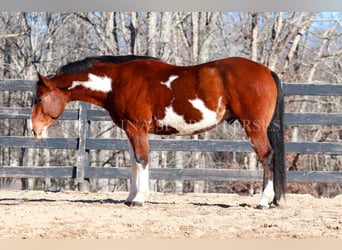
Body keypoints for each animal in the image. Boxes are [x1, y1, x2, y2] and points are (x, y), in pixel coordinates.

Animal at [30, 54, 286, 209]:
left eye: (40, 98)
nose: (34, 130)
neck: (116, 82)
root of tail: (267, 71)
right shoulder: (129, 130)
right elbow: (134, 162)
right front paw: (130, 197)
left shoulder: (137, 128)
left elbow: (142, 159)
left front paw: (139, 198)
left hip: (254, 127)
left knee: (267, 156)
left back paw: (264, 201)